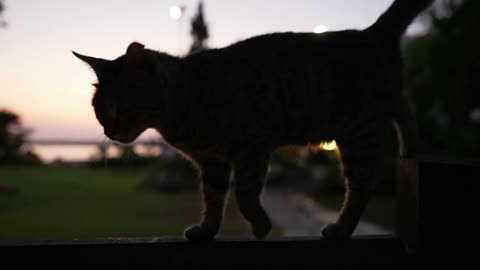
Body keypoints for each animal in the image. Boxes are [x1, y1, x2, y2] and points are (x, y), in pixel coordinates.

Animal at [73, 0, 434, 240]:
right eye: (100, 113)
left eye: (122, 110)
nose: (109, 132)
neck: (186, 101)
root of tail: (370, 32)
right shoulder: (213, 162)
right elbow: (213, 198)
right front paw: (207, 229)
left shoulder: (252, 148)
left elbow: (245, 195)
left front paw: (260, 225)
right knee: (405, 112)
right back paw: (411, 147)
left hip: (358, 134)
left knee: (361, 186)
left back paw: (342, 226)